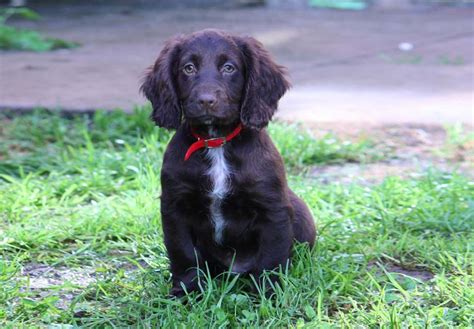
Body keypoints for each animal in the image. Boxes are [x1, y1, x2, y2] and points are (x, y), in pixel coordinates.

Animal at [143, 28, 316, 298]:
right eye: (188, 68)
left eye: (229, 68)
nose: (206, 100)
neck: (217, 143)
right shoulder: (174, 207)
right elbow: (183, 254)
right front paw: (186, 292)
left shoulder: (273, 208)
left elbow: (271, 257)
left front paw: (268, 295)